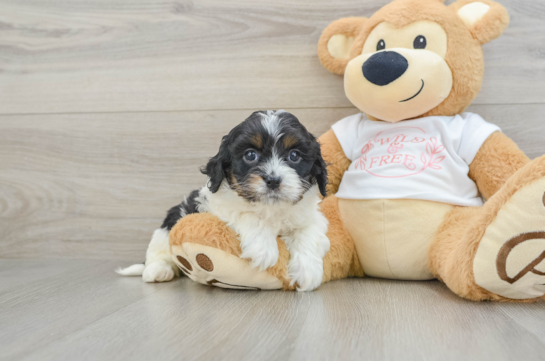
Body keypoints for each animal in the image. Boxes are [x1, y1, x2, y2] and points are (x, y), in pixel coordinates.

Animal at [117, 109, 330, 290]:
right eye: (250, 155)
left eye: (294, 155)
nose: (273, 180)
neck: (269, 208)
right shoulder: (216, 205)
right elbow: (247, 214)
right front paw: (263, 248)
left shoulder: (310, 215)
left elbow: (308, 231)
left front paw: (308, 271)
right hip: (168, 226)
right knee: (158, 253)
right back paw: (159, 270)